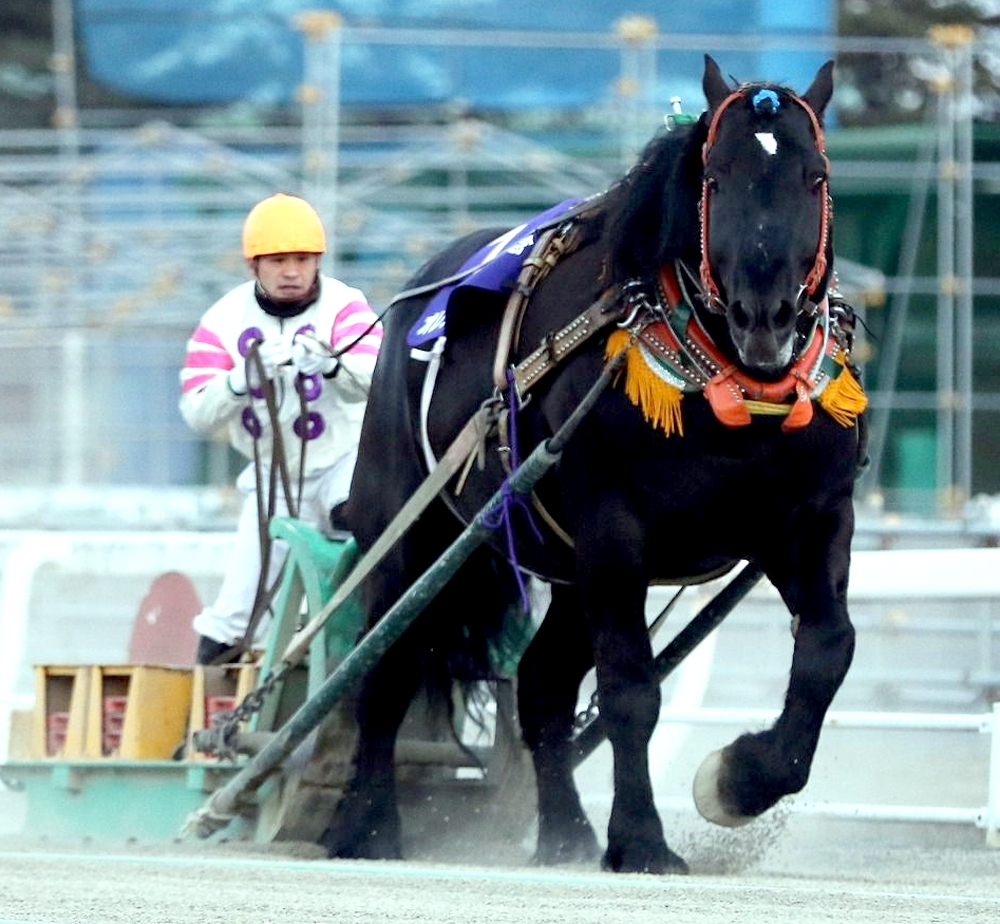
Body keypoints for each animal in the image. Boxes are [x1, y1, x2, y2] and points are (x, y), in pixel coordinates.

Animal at [326, 54, 868, 876]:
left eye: (816, 178)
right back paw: (365, 824)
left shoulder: (809, 520)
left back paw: (563, 834)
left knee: (543, 686)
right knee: (383, 668)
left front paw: (737, 781)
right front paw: (642, 839)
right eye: (716, 177)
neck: (737, 401)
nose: (766, 315)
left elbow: (829, 650)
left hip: (570, 572)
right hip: (413, 533)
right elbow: (630, 692)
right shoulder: (615, 532)